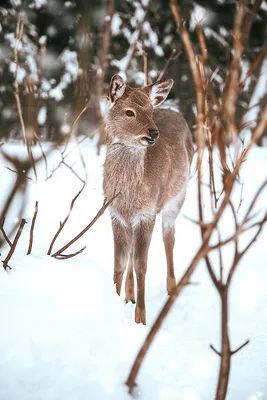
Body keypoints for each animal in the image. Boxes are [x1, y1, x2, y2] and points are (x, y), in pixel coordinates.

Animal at [103, 74, 194, 324]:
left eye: (151, 111)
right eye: (129, 112)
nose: (153, 133)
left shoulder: (147, 212)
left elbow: (141, 264)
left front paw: (141, 318)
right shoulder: (115, 213)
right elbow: (119, 262)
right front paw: (116, 302)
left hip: (177, 197)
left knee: (169, 239)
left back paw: (172, 289)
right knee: (133, 252)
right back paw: (129, 295)